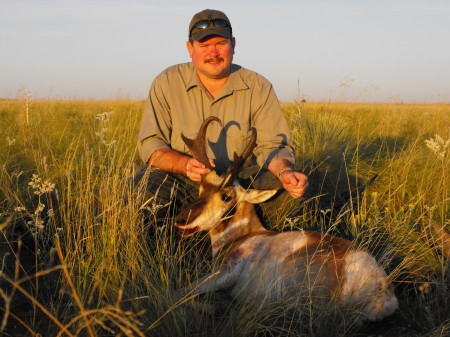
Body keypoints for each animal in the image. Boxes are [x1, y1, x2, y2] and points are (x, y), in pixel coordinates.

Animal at [176, 117, 398, 322]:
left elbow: (180, 293)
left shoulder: (224, 273)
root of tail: (383, 287)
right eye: (201, 189)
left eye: (226, 196)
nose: (181, 220)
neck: (245, 236)